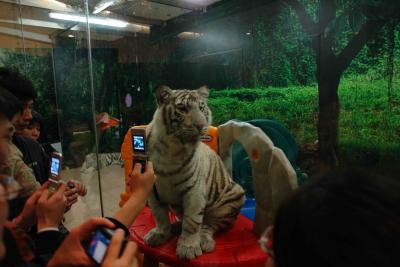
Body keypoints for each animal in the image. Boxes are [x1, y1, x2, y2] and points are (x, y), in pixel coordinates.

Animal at [144, 85, 244, 260]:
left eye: (202, 108)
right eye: (183, 109)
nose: (200, 125)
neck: (171, 148)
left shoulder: (194, 192)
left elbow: (192, 222)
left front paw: (188, 248)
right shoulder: (153, 191)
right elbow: (160, 216)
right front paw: (160, 234)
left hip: (232, 198)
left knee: (208, 224)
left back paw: (204, 241)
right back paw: (175, 227)